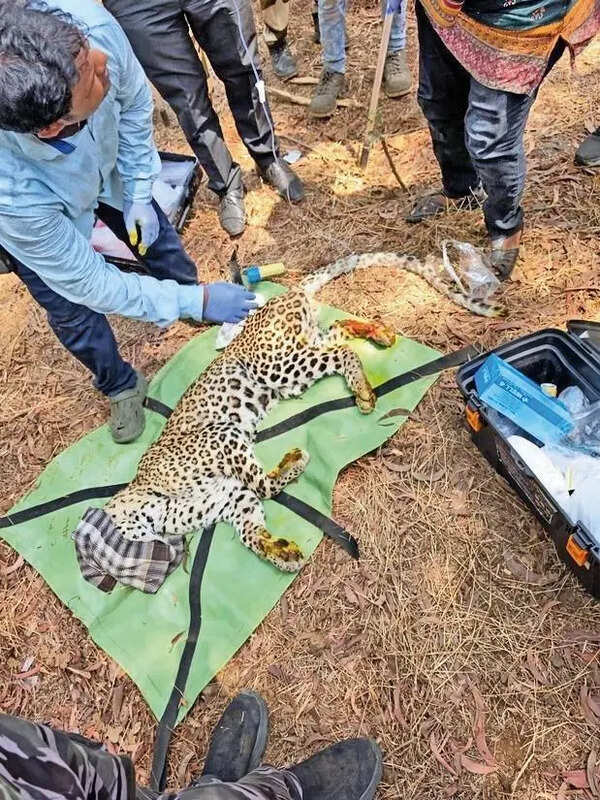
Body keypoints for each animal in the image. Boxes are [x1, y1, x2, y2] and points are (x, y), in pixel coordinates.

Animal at [104, 250, 500, 574]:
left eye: (122, 537)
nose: (156, 551)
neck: (155, 502)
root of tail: (284, 294)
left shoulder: (222, 436)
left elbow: (263, 483)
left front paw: (294, 460)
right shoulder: (233, 499)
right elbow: (252, 524)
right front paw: (280, 552)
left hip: (279, 366)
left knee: (341, 353)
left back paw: (363, 389)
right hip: (298, 358)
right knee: (338, 332)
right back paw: (379, 334)